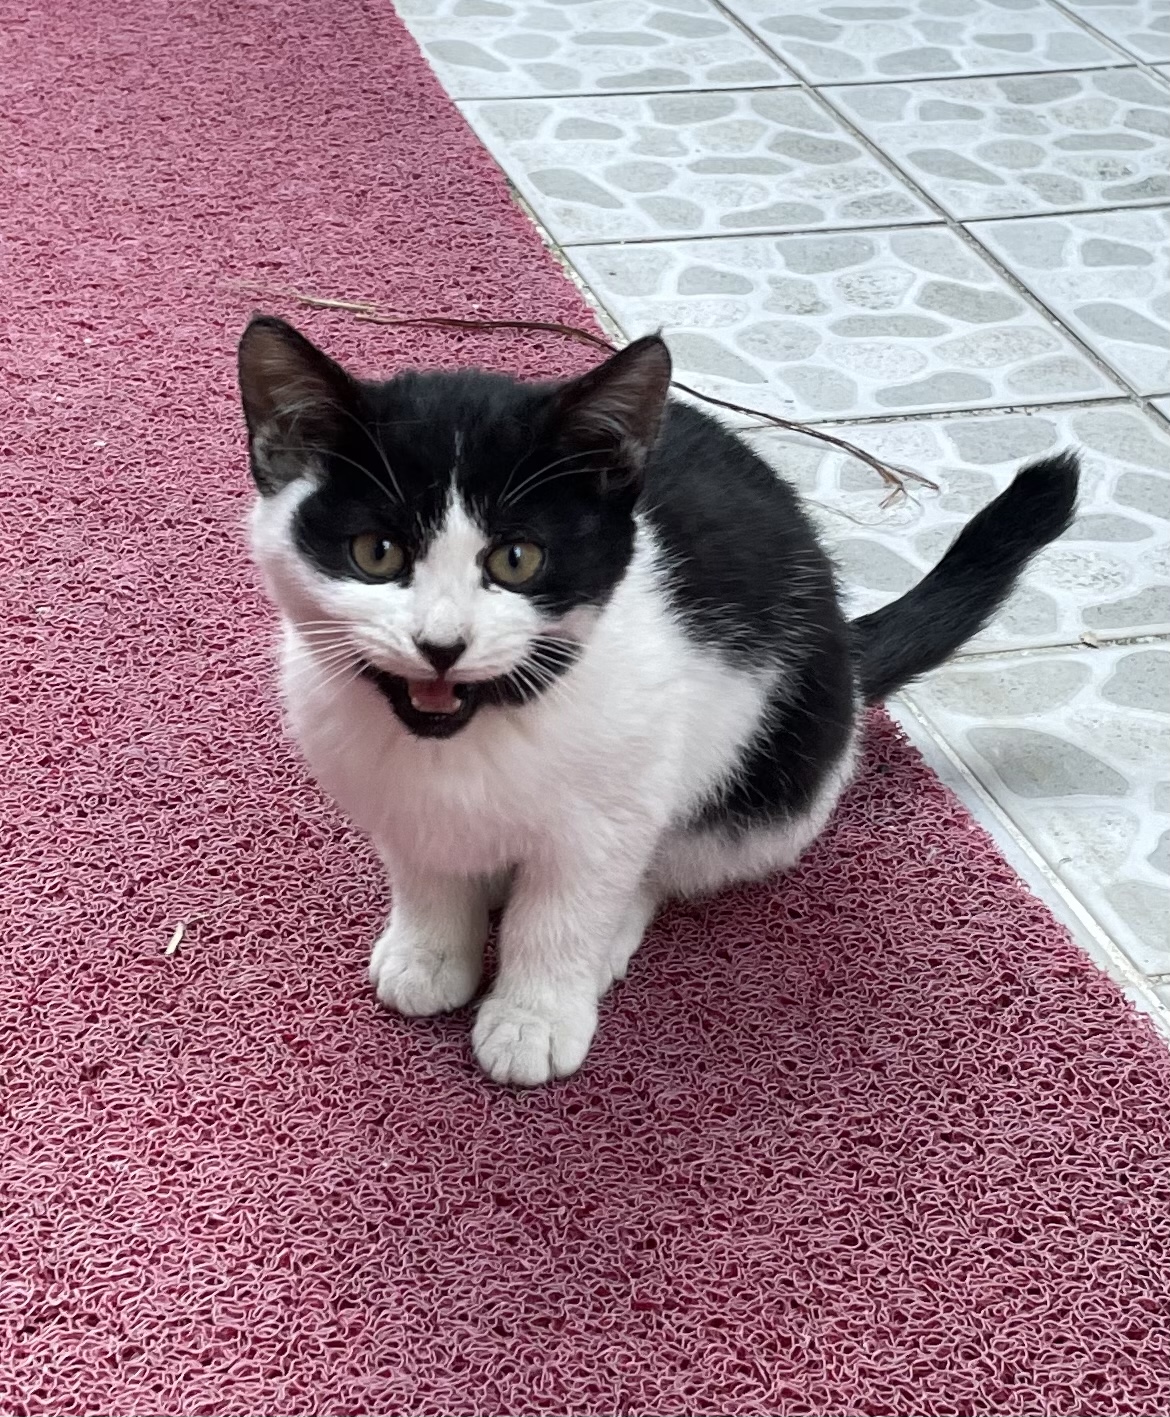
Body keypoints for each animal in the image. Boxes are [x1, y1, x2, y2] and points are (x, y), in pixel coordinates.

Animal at [238, 315, 1079, 1087]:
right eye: (376, 552)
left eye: (518, 559)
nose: (441, 643)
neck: (471, 735)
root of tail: (843, 645)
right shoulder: (394, 795)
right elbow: (426, 871)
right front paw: (430, 952)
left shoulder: (613, 804)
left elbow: (564, 910)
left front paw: (534, 1015)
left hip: (772, 778)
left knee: (672, 857)